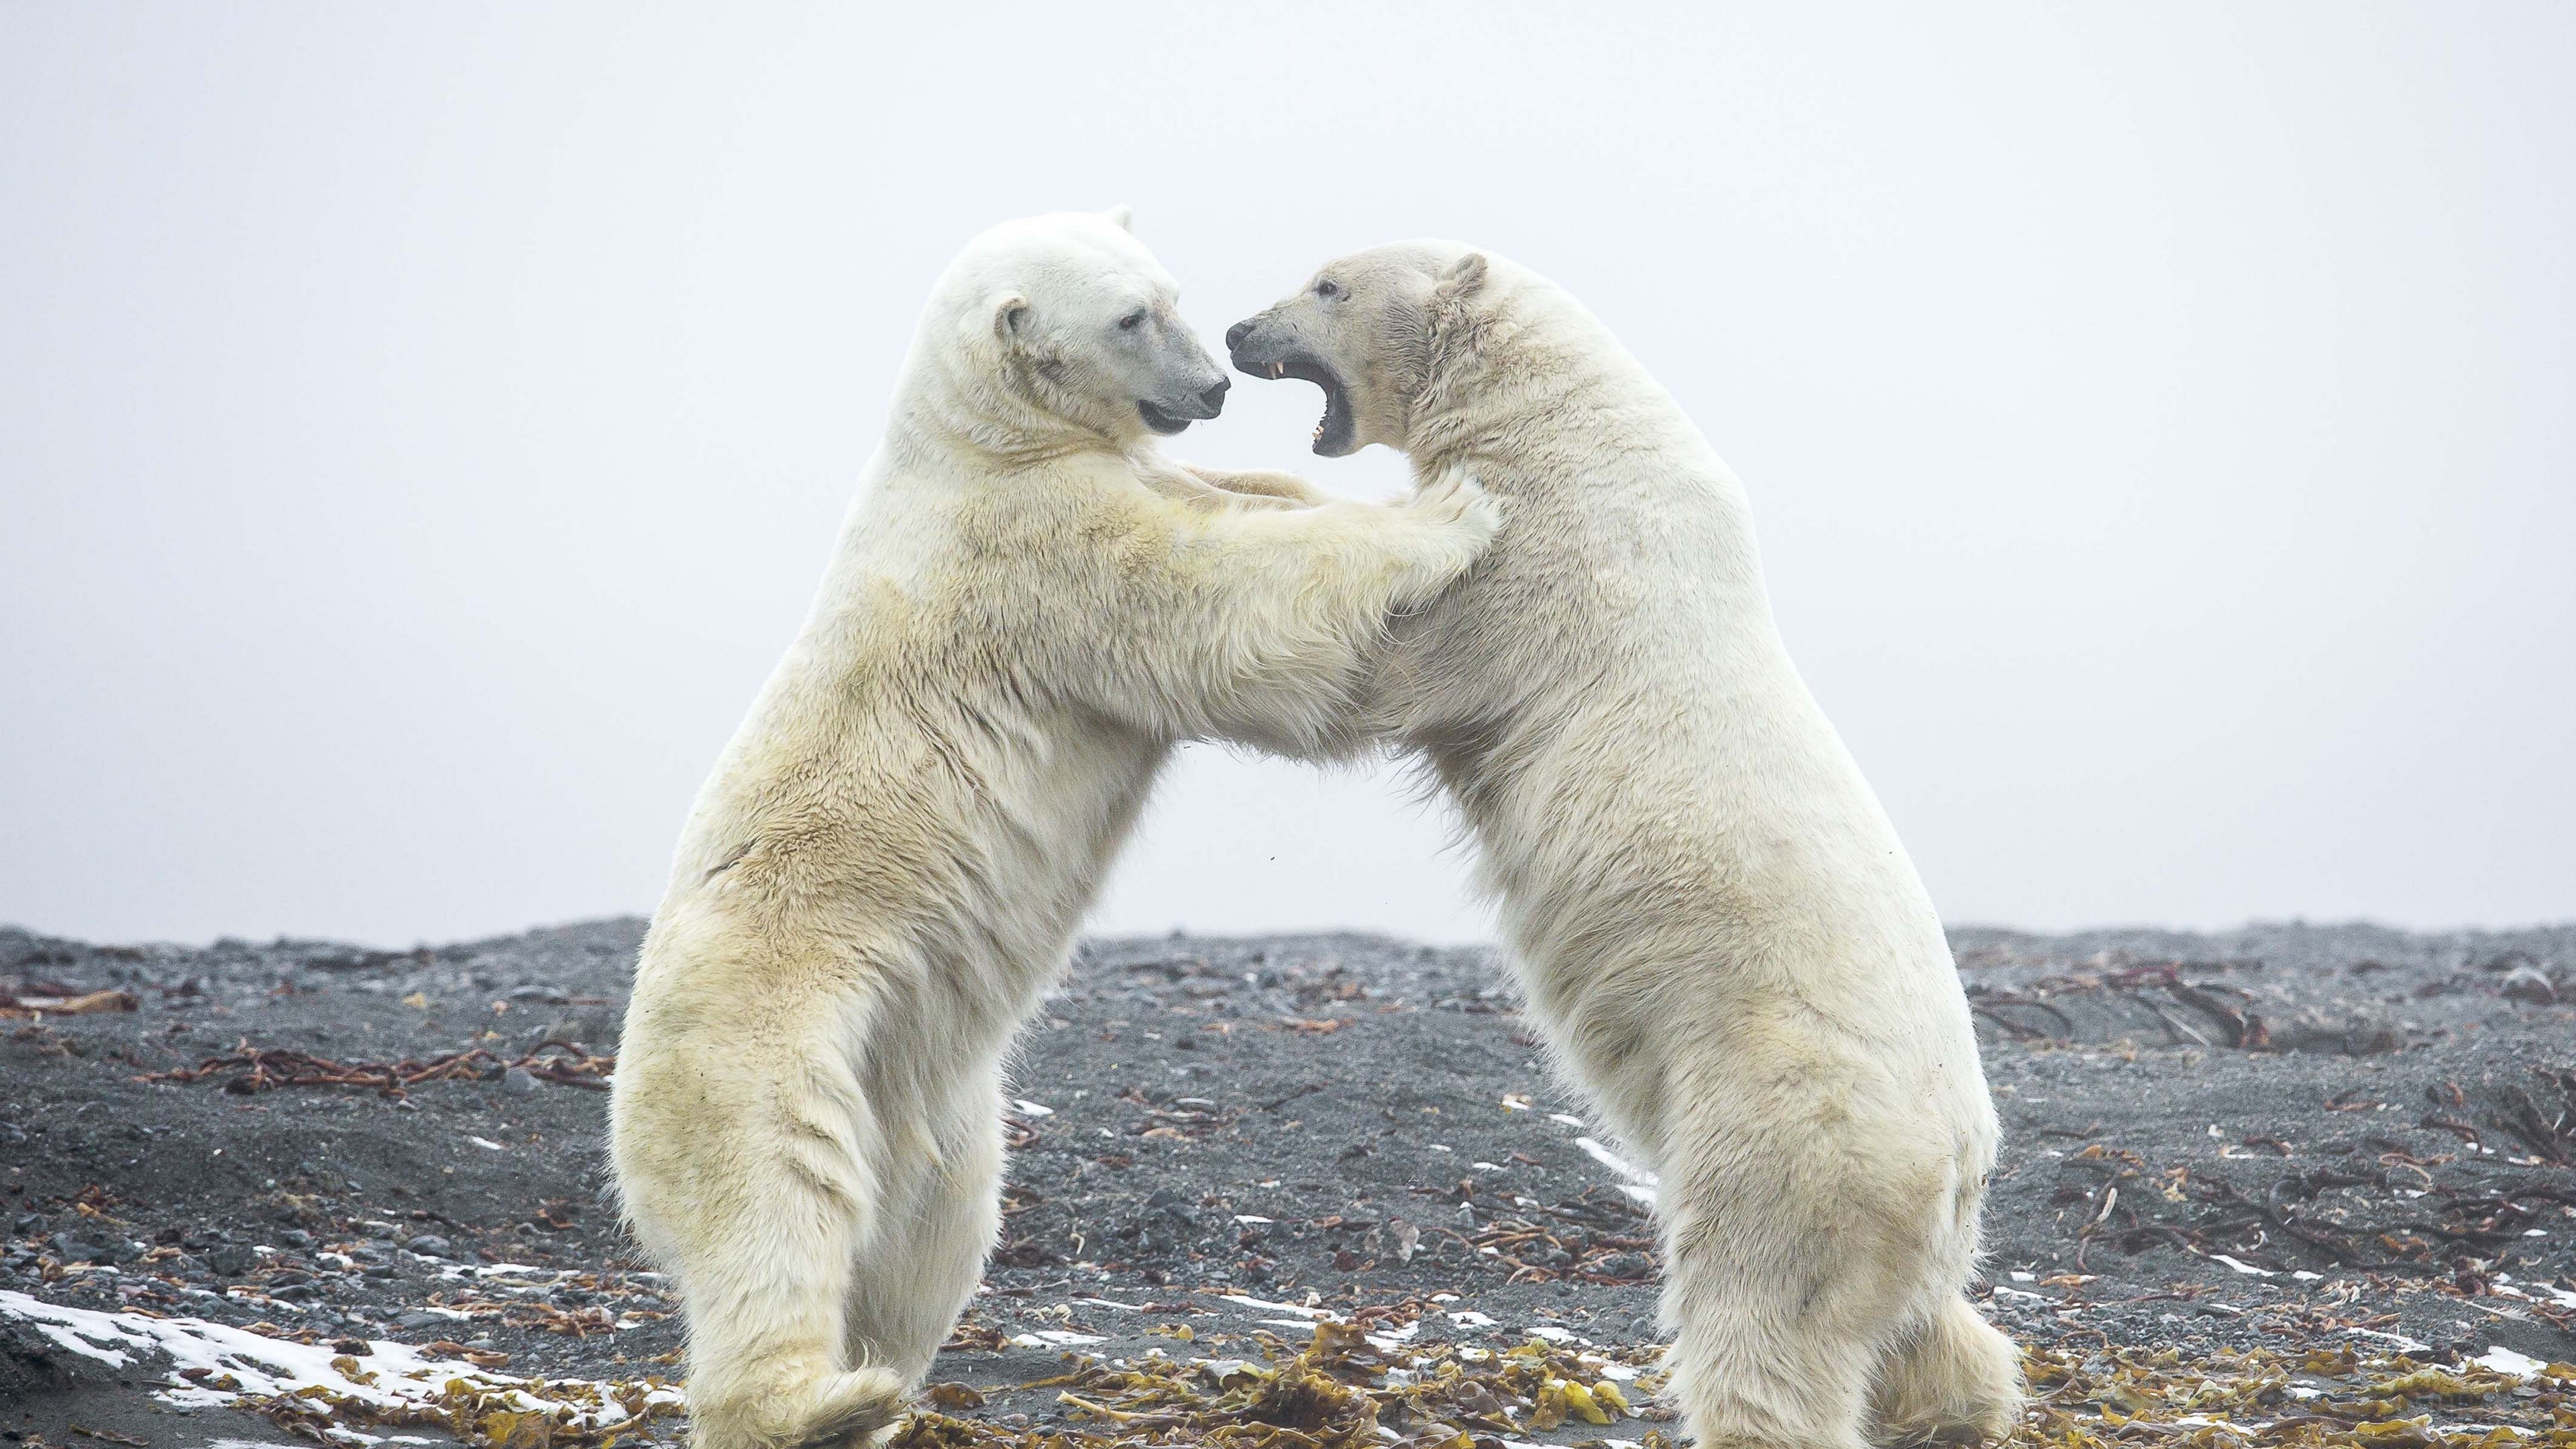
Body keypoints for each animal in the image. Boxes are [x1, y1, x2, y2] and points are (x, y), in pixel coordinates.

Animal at [607, 210, 1497, 1449]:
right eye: (1130, 318)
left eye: (1171, 295)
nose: (1215, 384)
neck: (977, 442)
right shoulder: (1037, 551)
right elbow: (1225, 601)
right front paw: (1450, 508)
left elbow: (1245, 497)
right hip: (759, 1020)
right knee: (774, 1189)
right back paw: (814, 1403)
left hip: (931, 1091)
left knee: (931, 1235)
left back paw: (882, 1383)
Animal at [1227, 247, 2022, 1449]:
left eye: (1327, 284)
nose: (1235, 333)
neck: (1562, 421)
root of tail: (1962, 1162)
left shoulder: (1541, 564)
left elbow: (1388, 668)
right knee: (1928, 1332)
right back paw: (1963, 1406)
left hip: (1789, 1127)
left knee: (1761, 1312)